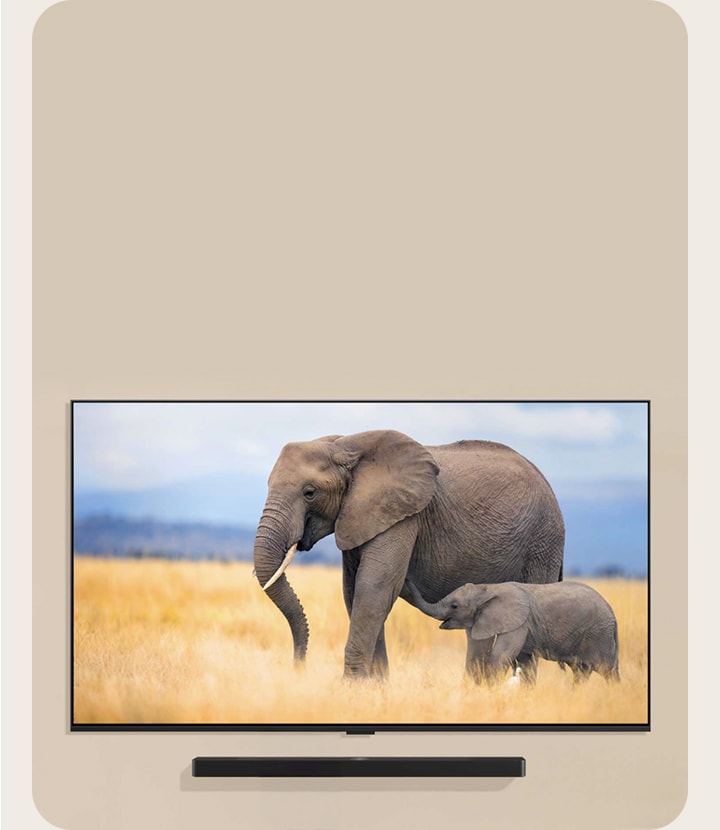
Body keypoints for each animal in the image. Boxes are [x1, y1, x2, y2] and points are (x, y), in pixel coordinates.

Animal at [252, 429, 565, 680]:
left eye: (309, 492)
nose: (299, 668)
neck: (346, 445)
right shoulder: (360, 515)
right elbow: (354, 592)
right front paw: (374, 689)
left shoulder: (403, 515)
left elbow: (374, 588)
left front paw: (351, 689)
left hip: (542, 543)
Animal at [405, 579, 620, 685]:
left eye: (454, 606)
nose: (406, 579)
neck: (488, 589)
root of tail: (612, 613)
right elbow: (521, 661)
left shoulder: (518, 623)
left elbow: (501, 655)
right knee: (582, 673)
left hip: (599, 635)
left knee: (607, 670)